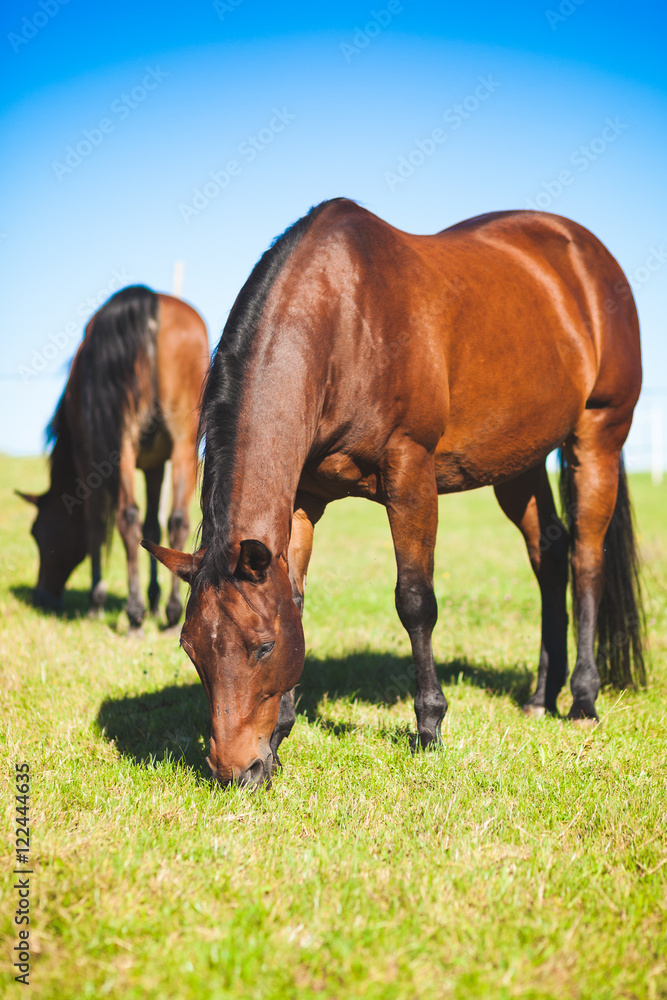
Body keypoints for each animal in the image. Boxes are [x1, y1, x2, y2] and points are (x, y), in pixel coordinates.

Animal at [19, 285, 210, 629]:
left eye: (37, 533)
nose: (42, 597)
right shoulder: (155, 466)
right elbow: (153, 528)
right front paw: (154, 600)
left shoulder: (87, 459)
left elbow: (95, 525)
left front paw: (98, 602)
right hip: (183, 446)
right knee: (176, 520)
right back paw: (172, 613)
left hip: (121, 448)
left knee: (126, 518)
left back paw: (134, 616)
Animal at [145, 198, 645, 788]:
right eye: (191, 650)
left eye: (263, 647)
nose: (234, 771)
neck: (345, 318)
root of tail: (586, 252)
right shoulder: (303, 498)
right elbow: (296, 597)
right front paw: (282, 734)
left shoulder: (411, 473)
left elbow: (415, 601)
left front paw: (429, 726)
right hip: (517, 462)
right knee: (551, 552)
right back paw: (542, 696)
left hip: (598, 436)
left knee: (588, 559)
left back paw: (583, 699)